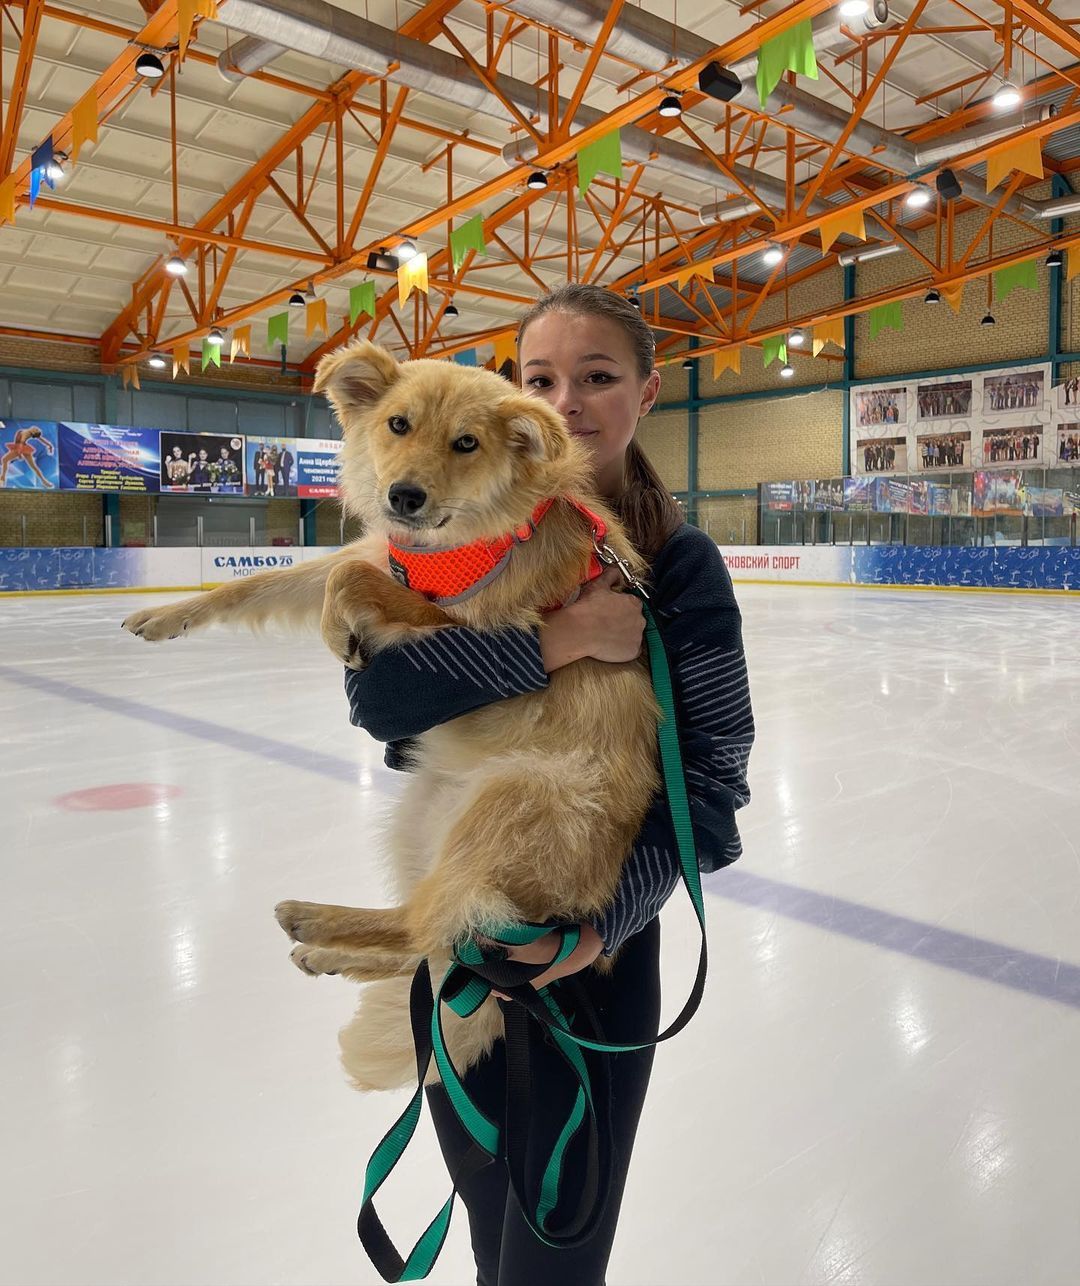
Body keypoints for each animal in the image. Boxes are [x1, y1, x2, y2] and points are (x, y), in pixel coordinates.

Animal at [118, 339, 658, 1085]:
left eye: (466, 443)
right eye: (398, 425)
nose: (404, 496)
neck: (471, 531)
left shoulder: (465, 622)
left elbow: (350, 580)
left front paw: (337, 633)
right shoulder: (381, 552)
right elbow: (269, 581)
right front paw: (166, 616)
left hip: (509, 803)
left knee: (431, 933)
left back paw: (318, 933)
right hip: (418, 815)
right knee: (436, 946)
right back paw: (326, 941)